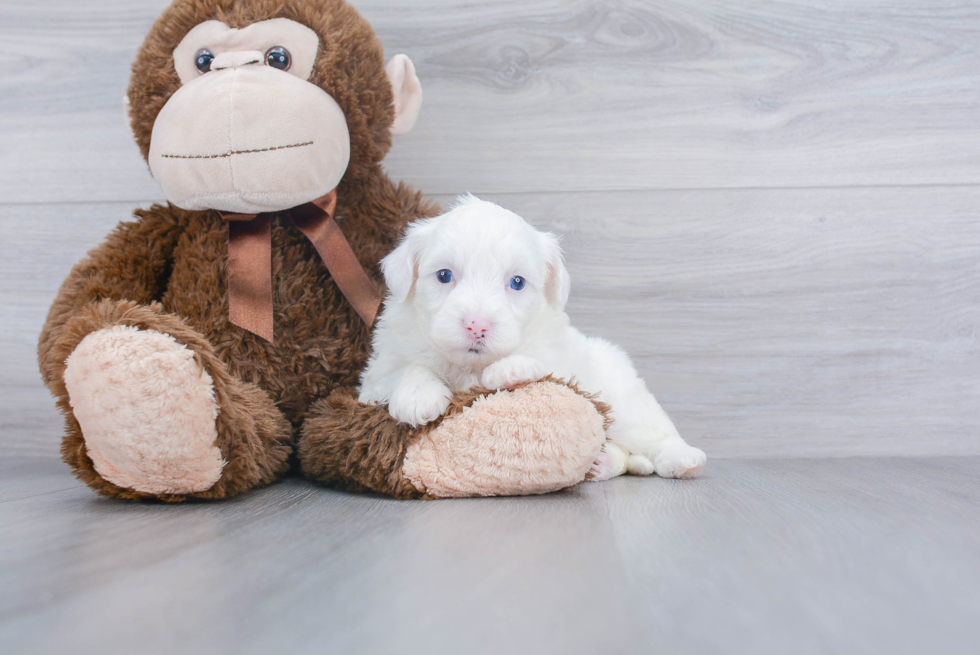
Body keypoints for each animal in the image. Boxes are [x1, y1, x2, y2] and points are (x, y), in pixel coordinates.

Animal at [358, 197, 704, 480]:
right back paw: (602, 462)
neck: (469, 366)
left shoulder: (560, 355)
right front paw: (417, 394)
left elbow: (540, 359)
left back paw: (683, 459)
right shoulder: (377, 375)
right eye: (444, 275)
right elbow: (407, 367)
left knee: (653, 433)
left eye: (517, 282)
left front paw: (509, 369)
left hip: (624, 402)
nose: (476, 325)